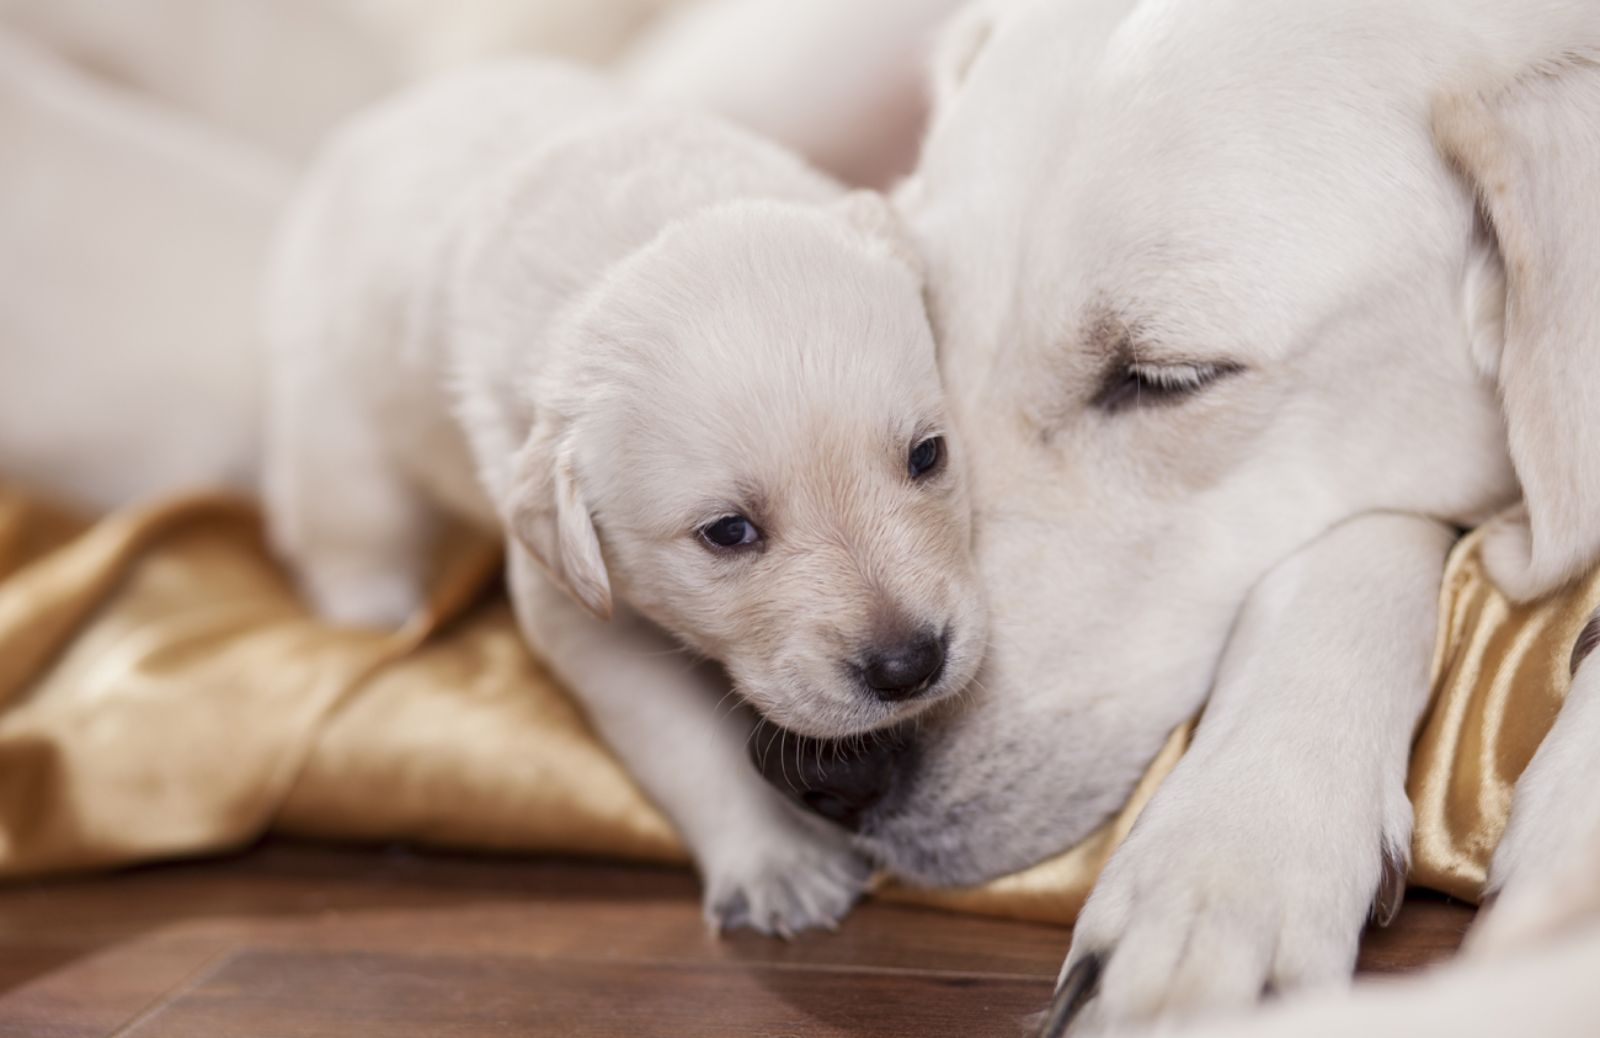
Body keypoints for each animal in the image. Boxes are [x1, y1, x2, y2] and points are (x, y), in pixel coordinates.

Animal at [262, 60, 985, 934]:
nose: (909, 666)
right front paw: (775, 861)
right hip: (336, 419)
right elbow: (682, 740)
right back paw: (373, 611)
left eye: (927, 455)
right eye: (728, 532)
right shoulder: (574, 603)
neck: (644, 222)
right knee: (346, 531)